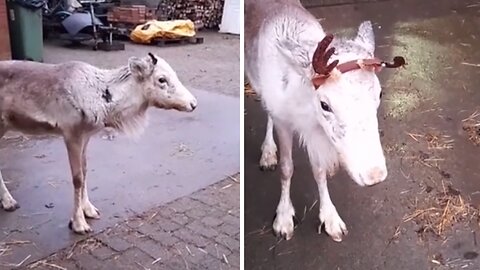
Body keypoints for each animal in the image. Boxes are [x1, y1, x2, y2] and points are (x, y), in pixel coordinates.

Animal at [0, 53, 197, 234]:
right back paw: (9, 202)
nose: (193, 103)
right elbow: (78, 178)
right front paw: (78, 223)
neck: (104, 100)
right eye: (162, 79)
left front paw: (89, 210)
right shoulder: (71, 134)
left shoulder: (85, 136)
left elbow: (85, 171)